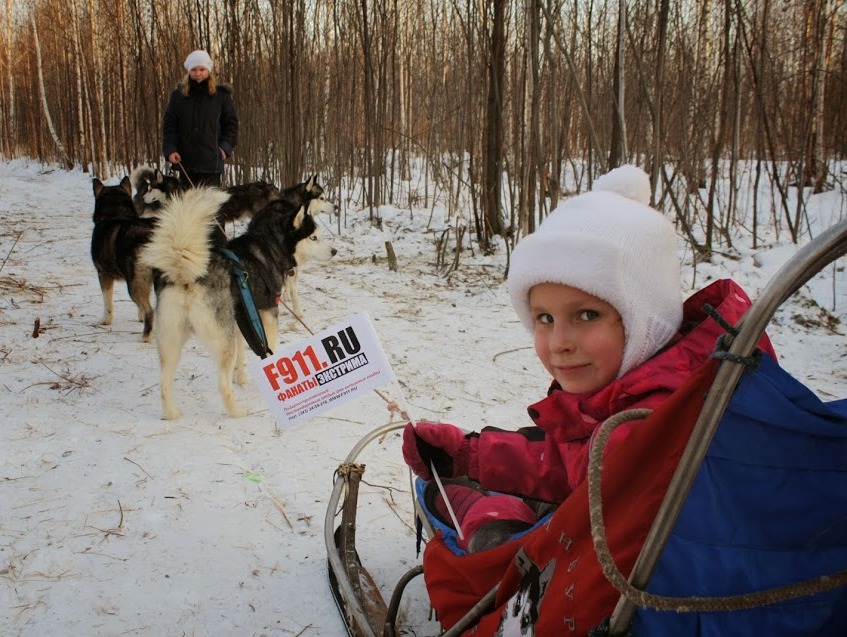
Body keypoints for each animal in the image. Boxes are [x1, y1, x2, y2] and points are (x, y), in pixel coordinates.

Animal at [91, 176, 159, 340]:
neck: (115, 215)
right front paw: (140, 318)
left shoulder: (103, 274)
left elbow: (107, 302)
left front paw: (105, 320)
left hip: (135, 282)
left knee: (150, 310)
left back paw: (146, 337)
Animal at [141, 186, 336, 420]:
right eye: (314, 237)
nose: (334, 251)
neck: (268, 247)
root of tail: (185, 275)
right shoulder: (268, 312)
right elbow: (269, 347)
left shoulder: (241, 316)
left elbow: (244, 349)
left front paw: (241, 377)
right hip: (222, 343)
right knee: (222, 385)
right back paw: (236, 411)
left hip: (171, 343)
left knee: (164, 383)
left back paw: (171, 414)